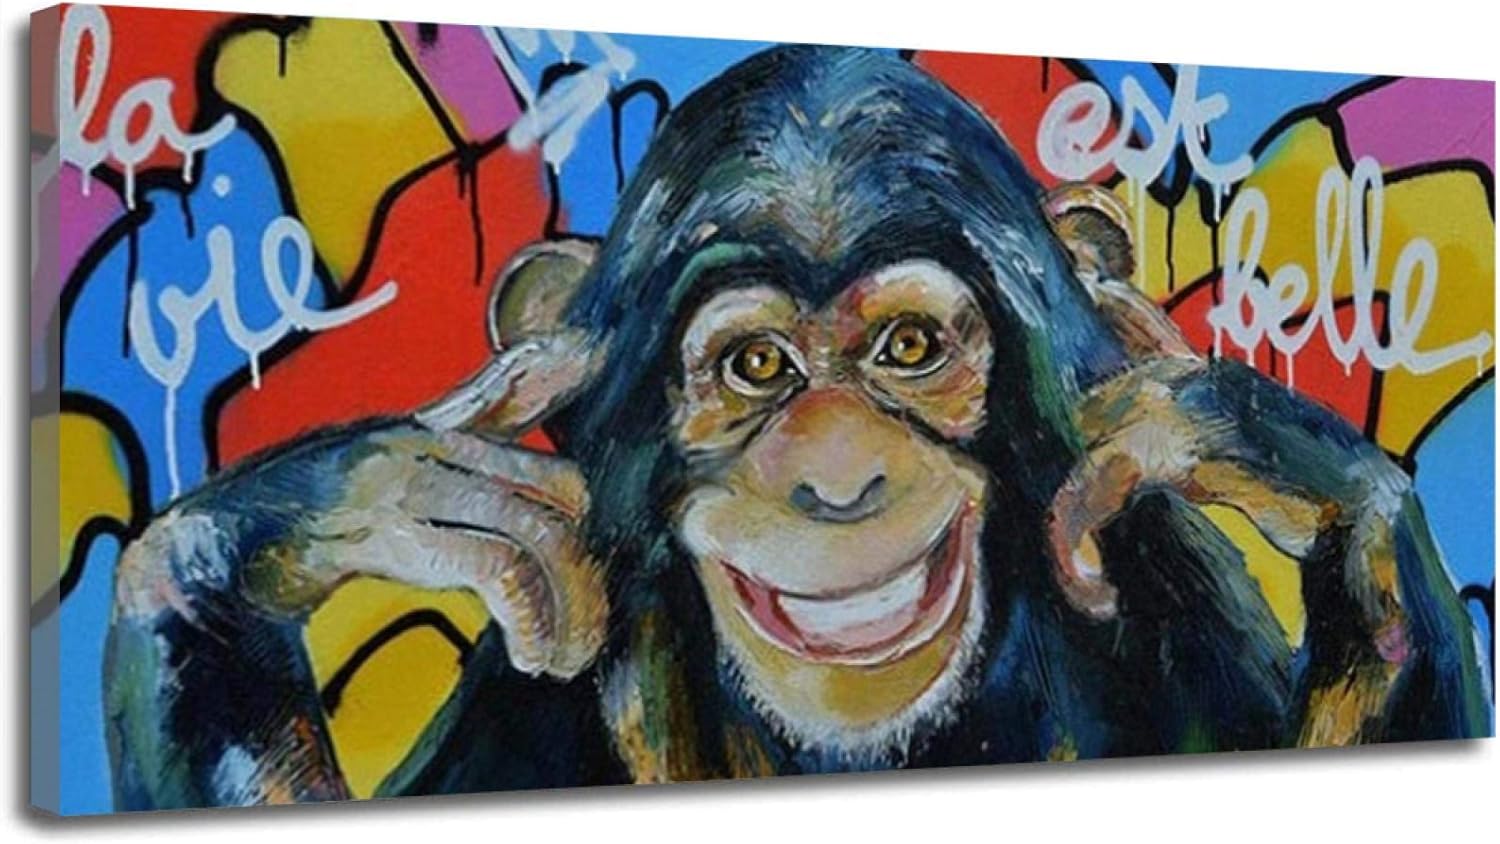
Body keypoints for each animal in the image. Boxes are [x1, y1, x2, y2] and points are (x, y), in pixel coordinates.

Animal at [103, 45, 1491, 809]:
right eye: (757, 365)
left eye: (910, 348)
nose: (833, 476)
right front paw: (339, 511)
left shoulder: (1171, 596)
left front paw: (1279, 464)